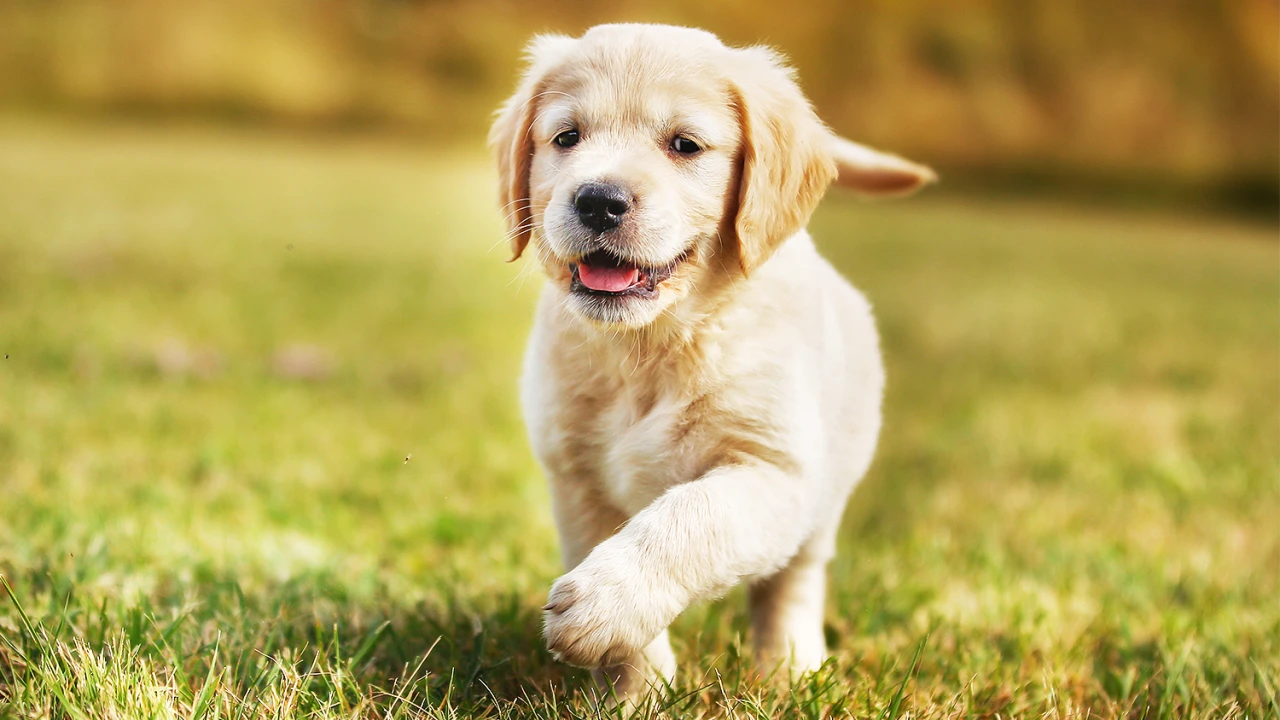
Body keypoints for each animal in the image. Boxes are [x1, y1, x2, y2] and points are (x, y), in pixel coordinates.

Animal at [488, 23, 931, 702]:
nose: (598, 201)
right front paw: (637, 692)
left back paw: (790, 669)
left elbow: (691, 518)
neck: (653, 346)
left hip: (827, 492)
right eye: (566, 137)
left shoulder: (775, 470)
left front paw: (604, 605)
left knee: (794, 582)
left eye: (685, 145)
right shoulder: (577, 482)